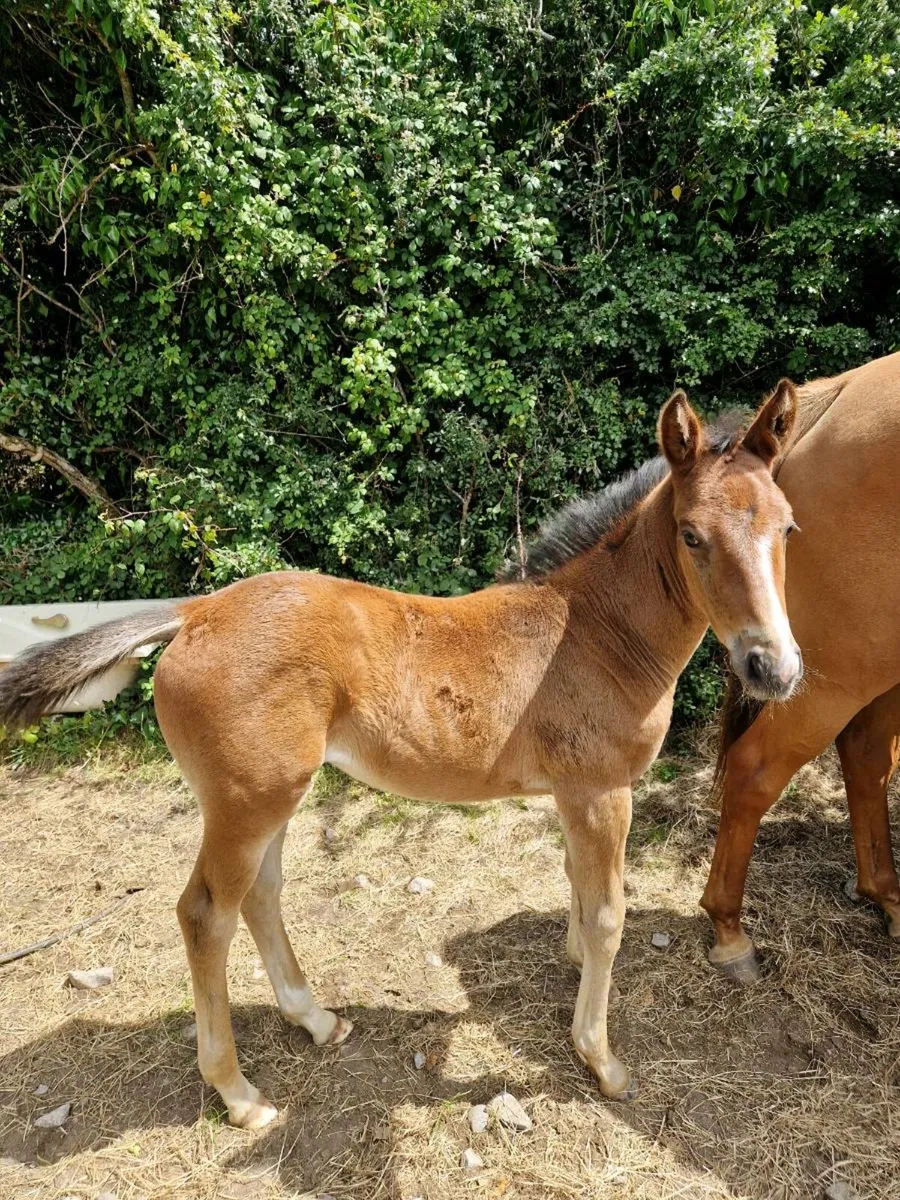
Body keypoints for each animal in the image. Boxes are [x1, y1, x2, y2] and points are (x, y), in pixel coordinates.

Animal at [0, 388, 802, 1129]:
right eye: (692, 535)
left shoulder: (573, 795)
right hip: (247, 800)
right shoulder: (601, 790)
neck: (596, 634)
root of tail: (195, 612)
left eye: (788, 526)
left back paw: (317, 1020)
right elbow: (609, 915)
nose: (773, 668)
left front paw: (574, 967)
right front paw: (601, 1061)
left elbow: (577, 886)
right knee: (205, 914)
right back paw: (239, 1094)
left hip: (271, 795)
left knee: (260, 894)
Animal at [701, 351, 900, 983]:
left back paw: (888, 896)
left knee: (866, 757)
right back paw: (729, 931)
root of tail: (838, 392)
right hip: (841, 669)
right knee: (756, 768)